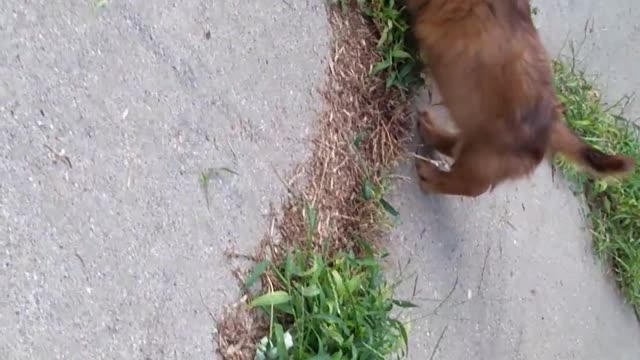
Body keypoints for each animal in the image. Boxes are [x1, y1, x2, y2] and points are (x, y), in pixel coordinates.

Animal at [404, 0, 636, 197]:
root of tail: (552, 125)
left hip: (485, 158)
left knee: (470, 185)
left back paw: (431, 177)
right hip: (478, 138)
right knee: (456, 146)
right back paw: (429, 131)